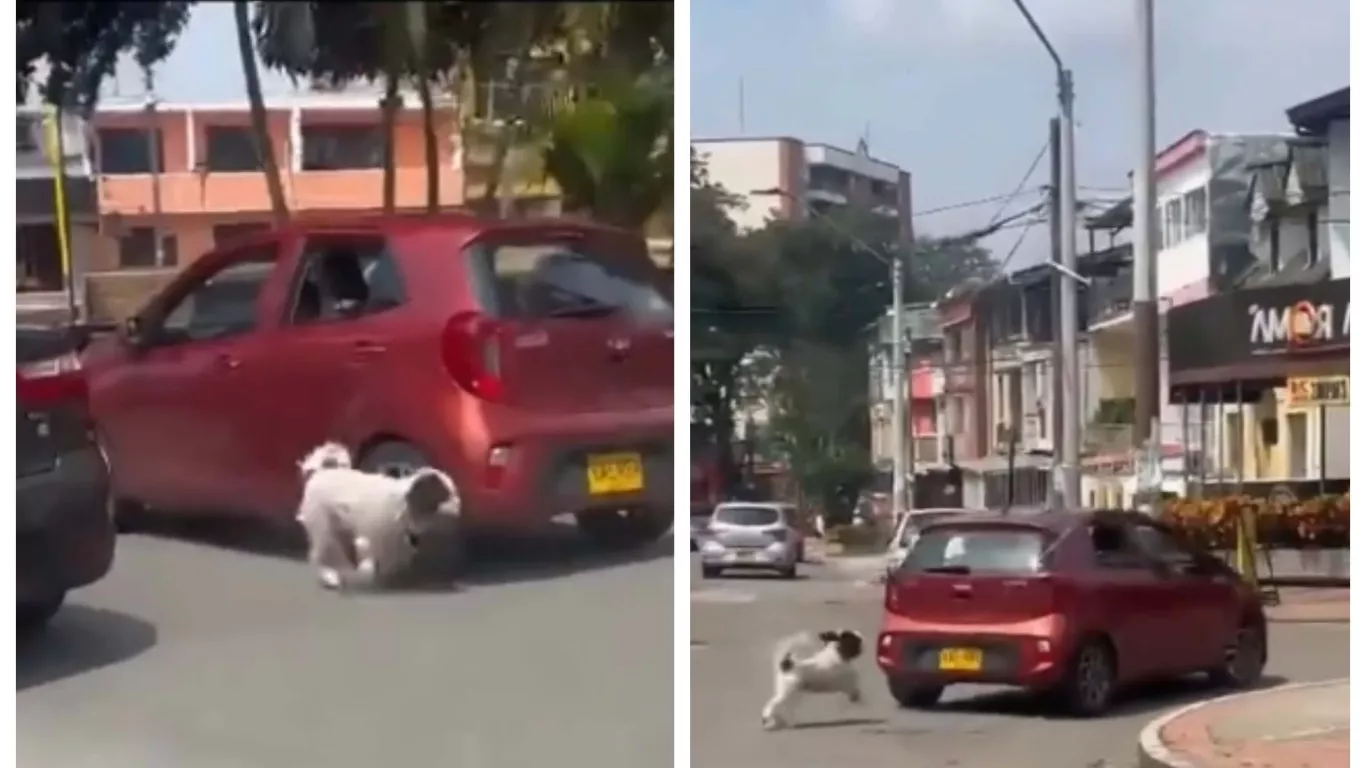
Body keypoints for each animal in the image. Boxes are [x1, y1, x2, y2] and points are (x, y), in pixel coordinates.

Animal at [296, 440, 461, 587]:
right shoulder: (377, 536)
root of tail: (321, 472)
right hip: (324, 530)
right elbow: (378, 559)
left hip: (341, 531)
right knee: (320, 555)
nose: (459, 503)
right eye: (447, 494)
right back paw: (330, 576)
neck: (405, 505)